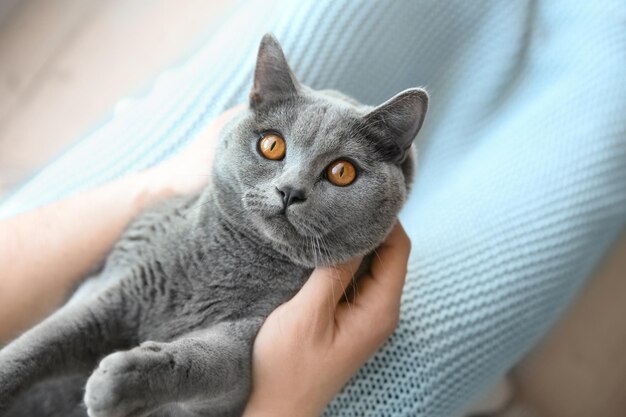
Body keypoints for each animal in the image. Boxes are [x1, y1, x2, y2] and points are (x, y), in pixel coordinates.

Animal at [0, 34, 424, 414]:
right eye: (272, 145)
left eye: (341, 172)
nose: (289, 191)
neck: (231, 261)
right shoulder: (114, 288)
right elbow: (42, 341)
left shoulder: (246, 342)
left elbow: (206, 364)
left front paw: (122, 378)